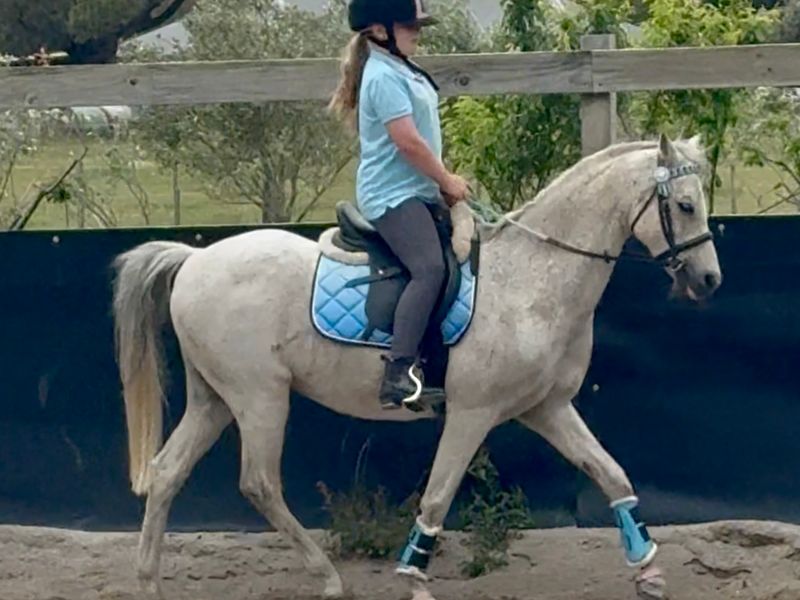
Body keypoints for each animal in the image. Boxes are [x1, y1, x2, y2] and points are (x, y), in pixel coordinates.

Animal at [111, 133, 721, 600]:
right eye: (685, 205)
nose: (709, 280)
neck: (530, 278)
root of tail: (195, 258)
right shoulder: (472, 414)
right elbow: (438, 495)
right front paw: (413, 579)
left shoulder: (547, 408)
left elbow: (611, 472)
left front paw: (648, 570)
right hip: (259, 397)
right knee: (259, 483)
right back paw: (328, 579)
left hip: (214, 399)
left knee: (167, 473)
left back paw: (147, 582)